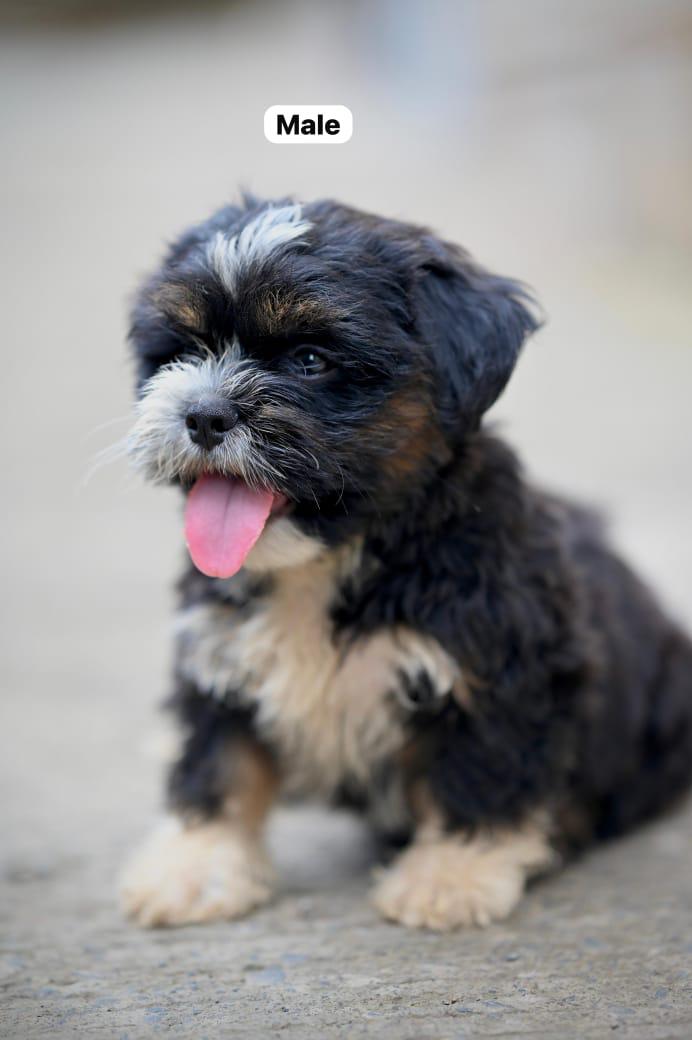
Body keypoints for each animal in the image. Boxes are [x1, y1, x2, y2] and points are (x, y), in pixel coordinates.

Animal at [120, 198, 690, 931]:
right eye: (184, 351)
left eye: (310, 359)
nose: (203, 413)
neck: (331, 559)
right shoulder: (218, 651)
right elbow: (220, 759)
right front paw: (197, 863)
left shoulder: (504, 661)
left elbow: (482, 768)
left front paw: (453, 873)